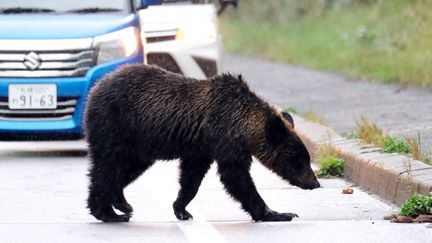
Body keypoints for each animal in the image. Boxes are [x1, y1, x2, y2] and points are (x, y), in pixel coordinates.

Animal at [84, 64, 320, 222]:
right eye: (299, 161)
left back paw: (122, 203)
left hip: (140, 146)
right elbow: (236, 178)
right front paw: (277, 213)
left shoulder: (202, 146)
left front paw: (181, 208)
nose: (315, 183)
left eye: (306, 158)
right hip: (115, 125)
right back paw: (108, 212)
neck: (243, 125)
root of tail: (95, 88)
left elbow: (192, 178)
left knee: (126, 169)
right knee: (106, 168)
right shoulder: (225, 140)